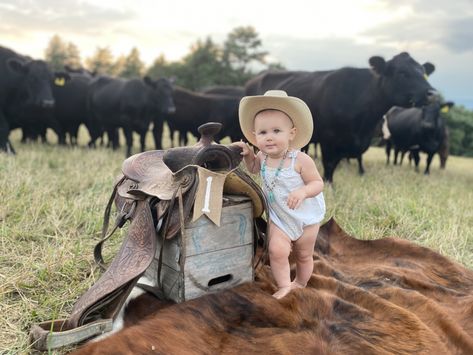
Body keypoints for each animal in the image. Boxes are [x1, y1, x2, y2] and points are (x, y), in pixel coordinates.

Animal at [245, 52, 436, 184]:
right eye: (402, 73)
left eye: (423, 72)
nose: (432, 93)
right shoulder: (329, 140)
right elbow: (329, 165)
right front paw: (329, 185)